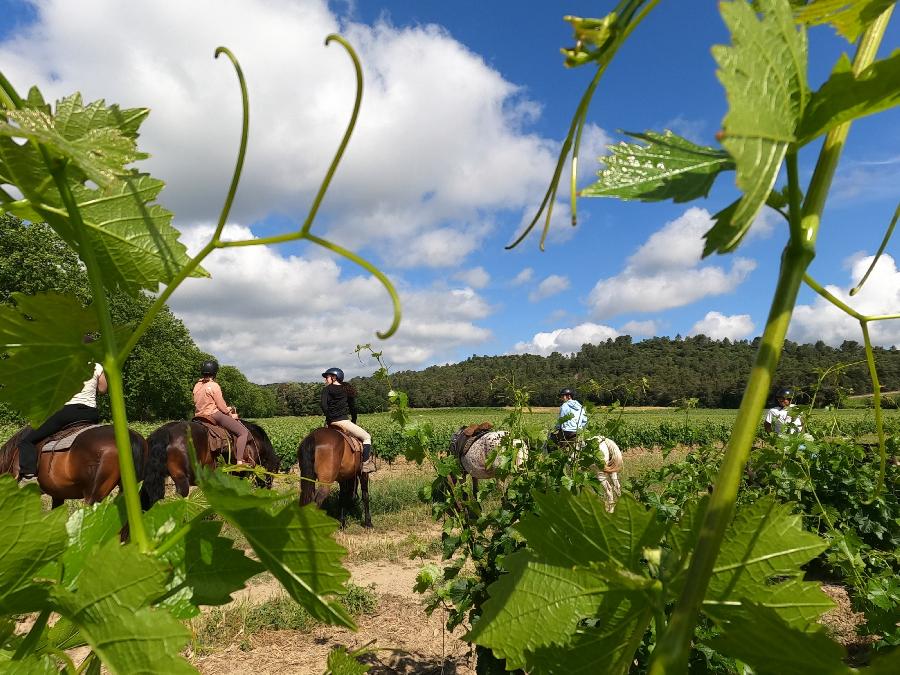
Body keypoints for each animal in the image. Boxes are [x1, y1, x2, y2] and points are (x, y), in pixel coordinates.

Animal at [144, 420, 280, 500]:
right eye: (273, 472)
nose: (268, 491)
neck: (255, 441)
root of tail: (166, 432)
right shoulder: (241, 472)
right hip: (182, 480)